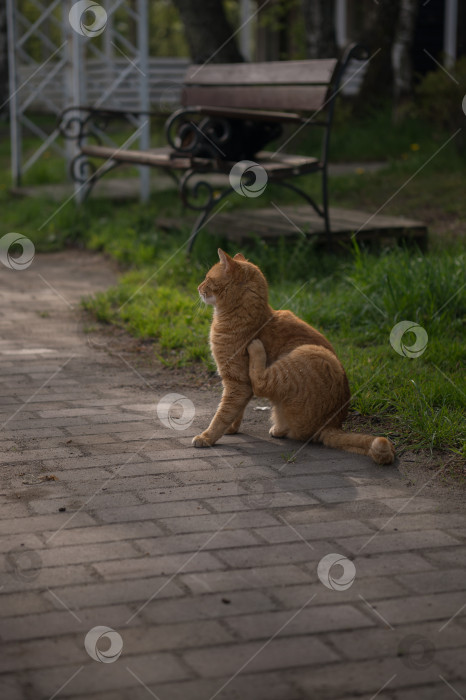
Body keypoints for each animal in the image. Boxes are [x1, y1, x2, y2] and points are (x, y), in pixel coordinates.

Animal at [192, 249, 394, 468]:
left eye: (208, 279)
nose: (198, 287)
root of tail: (332, 424)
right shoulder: (237, 386)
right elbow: (236, 411)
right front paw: (231, 428)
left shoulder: (237, 383)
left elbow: (222, 414)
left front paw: (207, 437)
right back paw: (279, 429)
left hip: (307, 354)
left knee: (261, 383)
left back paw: (256, 348)